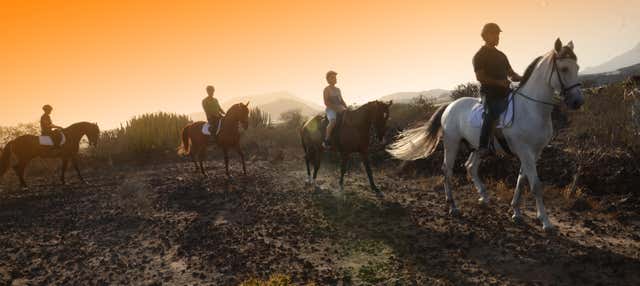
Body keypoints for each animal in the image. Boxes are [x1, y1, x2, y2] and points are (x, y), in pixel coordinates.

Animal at [390, 38, 584, 230]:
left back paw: (484, 197)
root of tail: (450, 105)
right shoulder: (525, 151)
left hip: (478, 147)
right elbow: (535, 185)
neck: (532, 109)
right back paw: (453, 206)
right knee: (447, 170)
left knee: (470, 166)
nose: (577, 102)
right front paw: (545, 221)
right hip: (451, 143)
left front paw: (516, 212)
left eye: (577, 67)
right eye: (564, 69)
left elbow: (521, 180)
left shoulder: (535, 152)